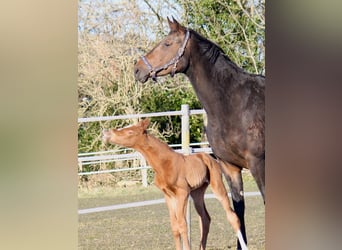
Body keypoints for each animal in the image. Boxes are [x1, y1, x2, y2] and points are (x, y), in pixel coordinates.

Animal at [103, 119, 247, 250]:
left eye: (130, 131)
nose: (107, 133)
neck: (164, 164)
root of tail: (211, 158)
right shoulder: (168, 195)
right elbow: (174, 225)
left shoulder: (182, 192)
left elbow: (182, 224)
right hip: (197, 192)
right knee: (205, 219)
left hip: (216, 185)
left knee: (232, 216)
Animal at [134, 18, 264, 250]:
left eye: (167, 44)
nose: (137, 69)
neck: (233, 103)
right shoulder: (229, 167)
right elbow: (238, 211)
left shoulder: (259, 163)